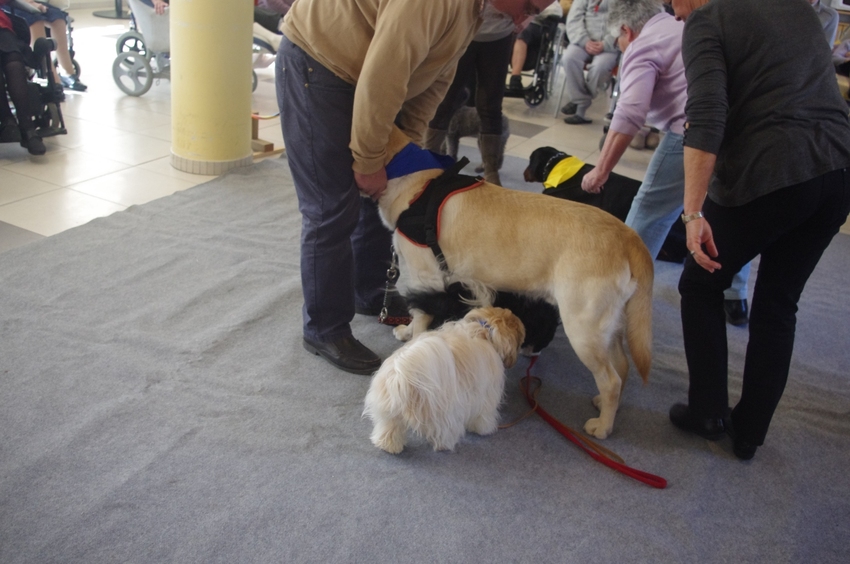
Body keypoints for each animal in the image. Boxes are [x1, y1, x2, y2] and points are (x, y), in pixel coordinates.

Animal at [362, 306, 524, 452]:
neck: (485, 329)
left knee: (388, 429)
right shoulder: (487, 394)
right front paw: (485, 429)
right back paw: (445, 445)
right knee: (443, 432)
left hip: (387, 410)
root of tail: (404, 377)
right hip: (444, 414)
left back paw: (388, 446)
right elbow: (483, 416)